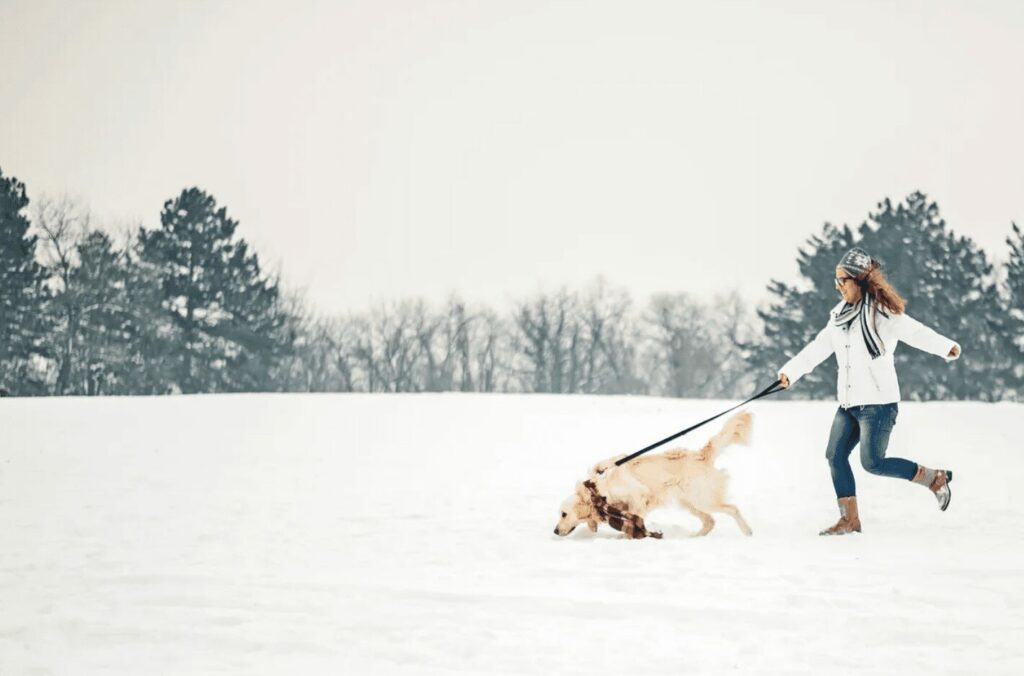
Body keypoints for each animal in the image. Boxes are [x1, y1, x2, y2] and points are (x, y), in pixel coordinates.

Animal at [557, 411, 757, 536]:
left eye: (563, 514)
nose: (555, 531)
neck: (597, 488)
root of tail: (701, 455)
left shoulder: (638, 495)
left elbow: (634, 517)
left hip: (702, 498)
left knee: (732, 509)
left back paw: (747, 531)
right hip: (689, 502)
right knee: (710, 521)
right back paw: (693, 537)